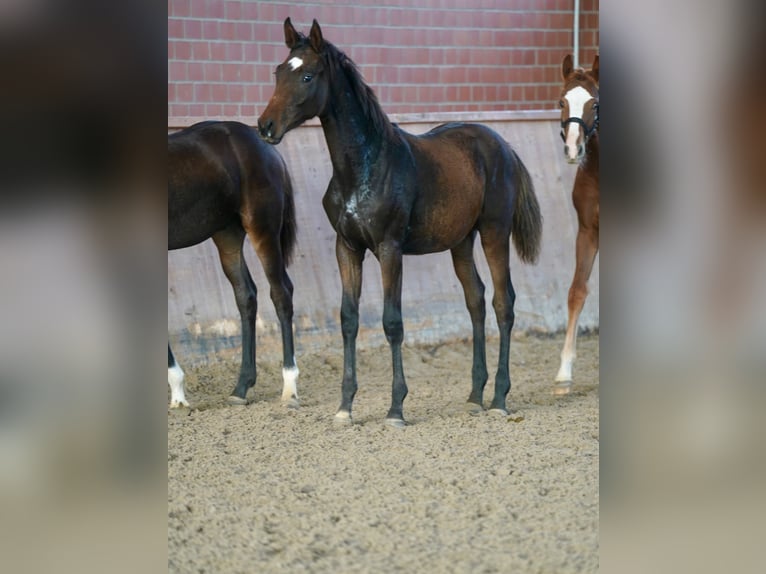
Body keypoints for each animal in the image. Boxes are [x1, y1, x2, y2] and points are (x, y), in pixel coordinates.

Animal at [168, 121, 299, 408]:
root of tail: (265, 144)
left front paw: (178, 394)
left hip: (263, 230)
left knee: (281, 293)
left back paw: (290, 388)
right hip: (227, 236)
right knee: (246, 295)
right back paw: (241, 387)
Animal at [257, 19, 542, 426]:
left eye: (308, 75)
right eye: (279, 72)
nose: (265, 126)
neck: (366, 164)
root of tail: (504, 147)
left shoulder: (389, 249)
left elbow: (392, 322)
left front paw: (395, 408)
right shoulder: (347, 247)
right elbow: (349, 319)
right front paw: (344, 407)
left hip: (494, 234)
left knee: (504, 303)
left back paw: (500, 398)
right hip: (461, 242)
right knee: (476, 300)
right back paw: (475, 396)